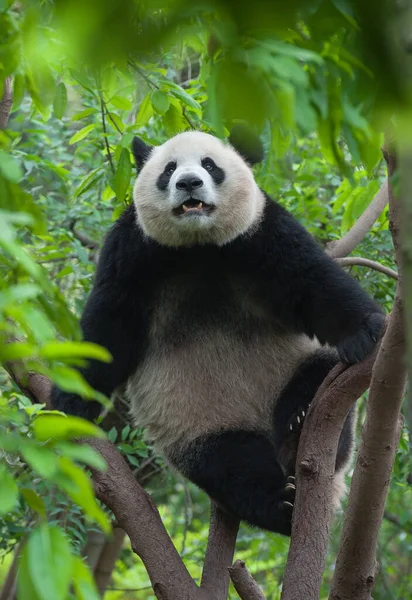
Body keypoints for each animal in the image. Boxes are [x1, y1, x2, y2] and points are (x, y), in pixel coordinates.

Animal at [52, 131, 386, 536]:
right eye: (169, 170)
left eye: (210, 165)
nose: (188, 183)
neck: (199, 246)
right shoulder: (132, 252)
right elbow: (109, 327)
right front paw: (70, 402)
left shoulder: (260, 233)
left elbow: (311, 281)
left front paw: (365, 331)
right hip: (196, 422)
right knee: (230, 465)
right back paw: (281, 504)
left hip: (298, 368)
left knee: (319, 382)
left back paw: (300, 422)